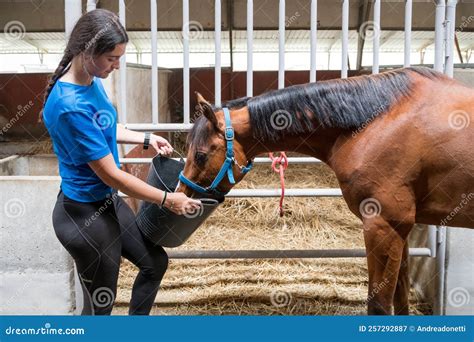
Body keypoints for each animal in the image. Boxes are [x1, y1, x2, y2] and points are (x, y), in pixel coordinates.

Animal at [177, 67, 474, 316]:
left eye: (200, 155)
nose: (182, 195)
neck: (375, 122)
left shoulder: (383, 225)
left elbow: (378, 305)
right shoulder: (401, 229)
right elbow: (400, 300)